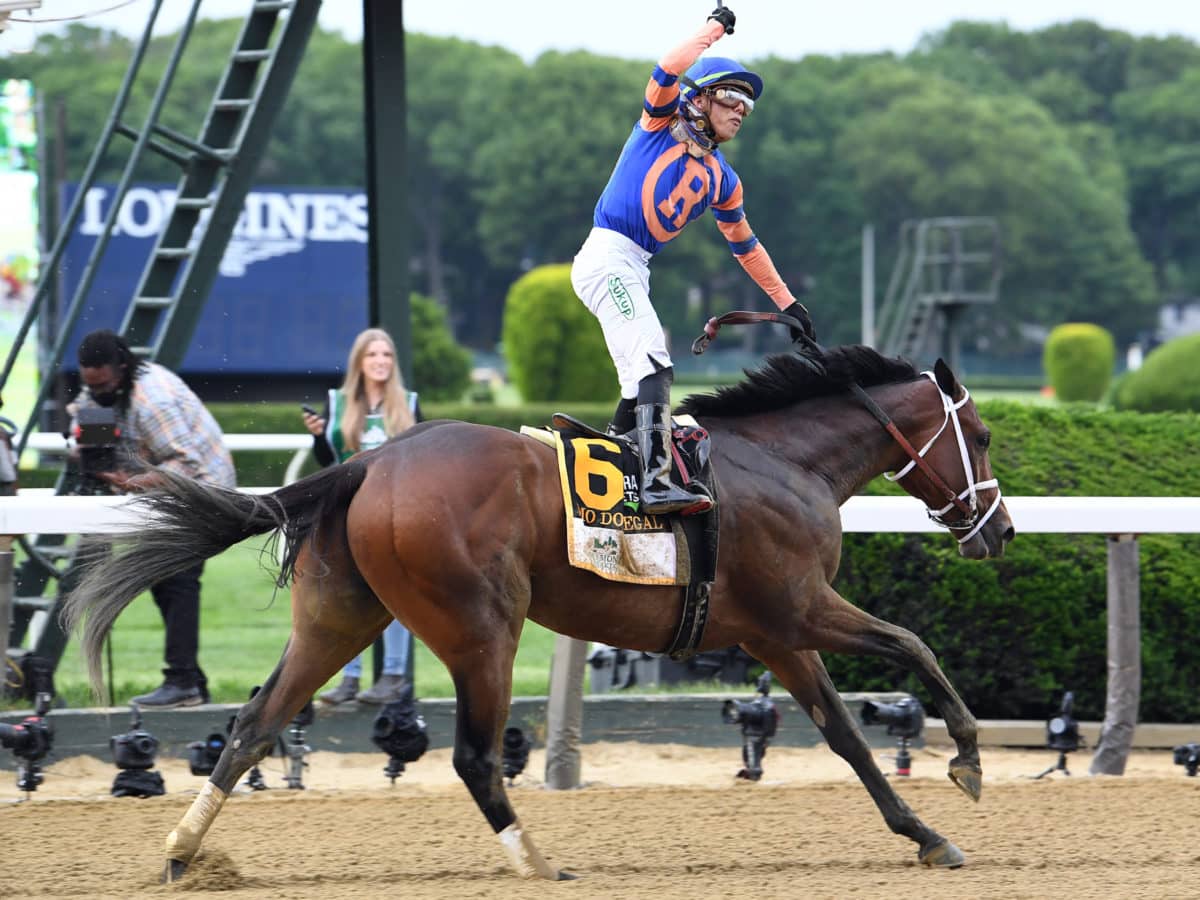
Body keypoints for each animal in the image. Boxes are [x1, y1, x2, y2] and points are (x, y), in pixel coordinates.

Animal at [60, 345, 1008, 883]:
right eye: (987, 435)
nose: (997, 527)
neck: (784, 462)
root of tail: (369, 463)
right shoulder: (800, 610)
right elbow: (912, 645)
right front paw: (966, 760)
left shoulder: (770, 633)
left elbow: (847, 737)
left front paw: (925, 835)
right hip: (483, 626)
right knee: (475, 758)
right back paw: (536, 863)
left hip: (338, 618)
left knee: (255, 724)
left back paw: (183, 853)